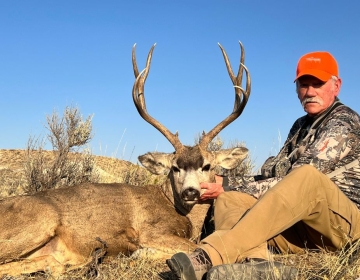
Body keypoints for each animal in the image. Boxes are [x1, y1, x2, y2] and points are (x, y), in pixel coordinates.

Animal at [0, 41, 250, 276]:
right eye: (175, 167)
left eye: (207, 166)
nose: (190, 191)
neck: (177, 210)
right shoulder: (152, 230)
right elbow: (188, 246)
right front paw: (142, 253)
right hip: (40, 222)